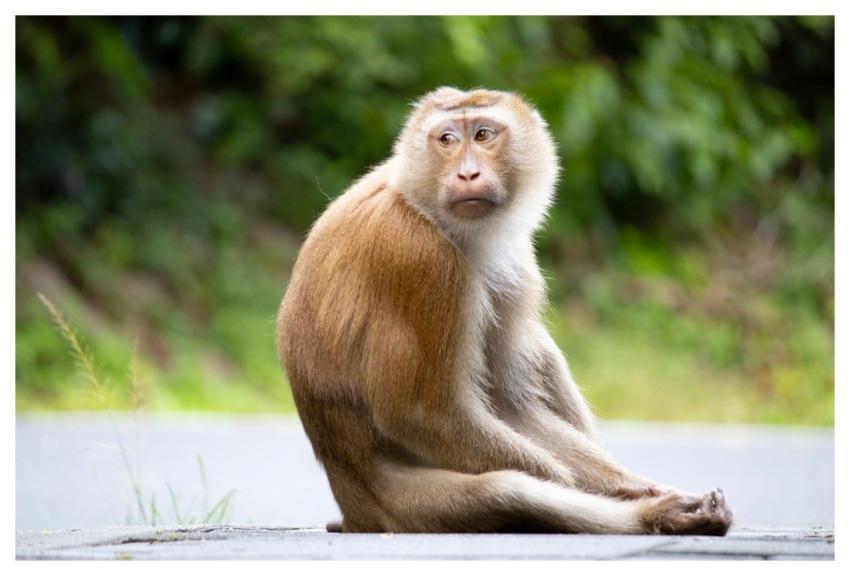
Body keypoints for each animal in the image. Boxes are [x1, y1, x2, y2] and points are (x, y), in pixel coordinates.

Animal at [276, 87, 733, 535]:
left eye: (482, 135)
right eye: (447, 139)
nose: (467, 174)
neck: (423, 207)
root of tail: (353, 505)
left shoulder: (514, 260)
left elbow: (510, 405)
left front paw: (631, 485)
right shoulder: (422, 261)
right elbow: (425, 414)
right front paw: (622, 495)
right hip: (402, 509)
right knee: (508, 490)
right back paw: (651, 516)